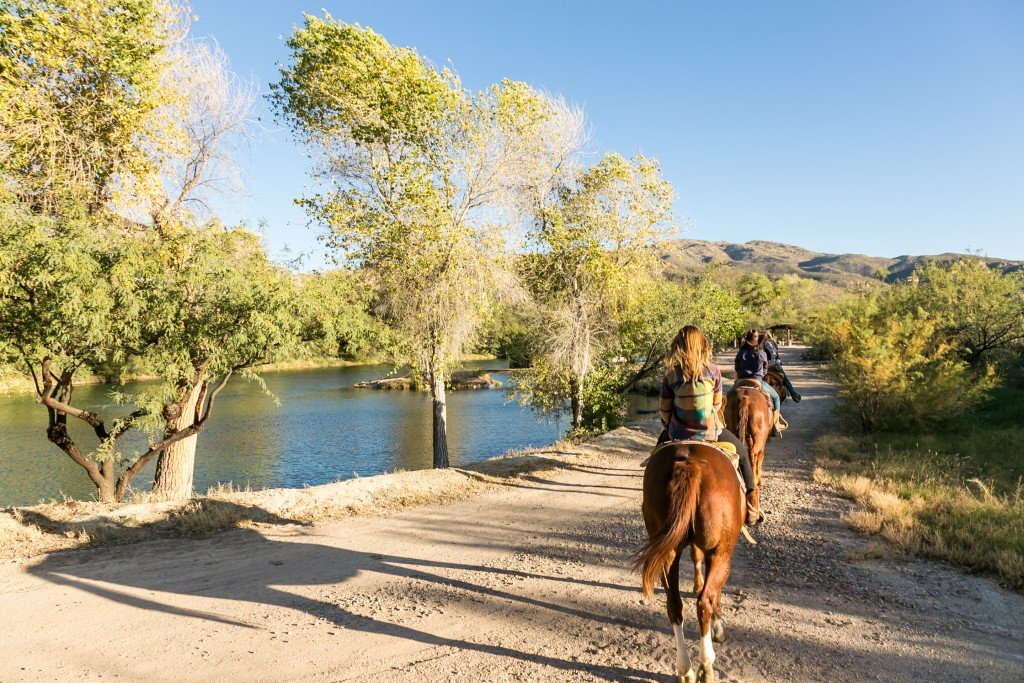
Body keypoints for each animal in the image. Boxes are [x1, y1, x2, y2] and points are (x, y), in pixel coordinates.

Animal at [634, 440, 741, 679]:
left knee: (674, 605)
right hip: (720, 554)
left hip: (667, 554)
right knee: (704, 602)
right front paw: (718, 628)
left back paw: (685, 671)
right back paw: (706, 667)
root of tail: (688, 465)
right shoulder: (717, 554)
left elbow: (695, 556)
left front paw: (696, 584)